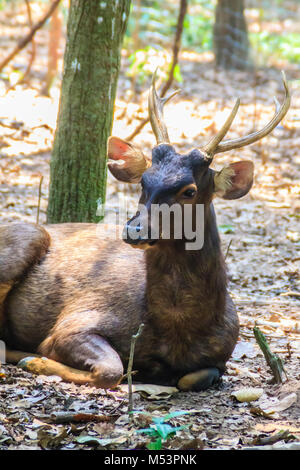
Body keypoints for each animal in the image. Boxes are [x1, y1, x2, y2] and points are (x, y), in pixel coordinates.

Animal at [0, 71, 290, 392]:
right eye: (143, 181)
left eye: (190, 191)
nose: (134, 229)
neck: (179, 331)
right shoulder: (74, 322)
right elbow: (112, 370)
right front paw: (35, 360)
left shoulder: (221, 356)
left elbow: (195, 377)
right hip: (27, 236)